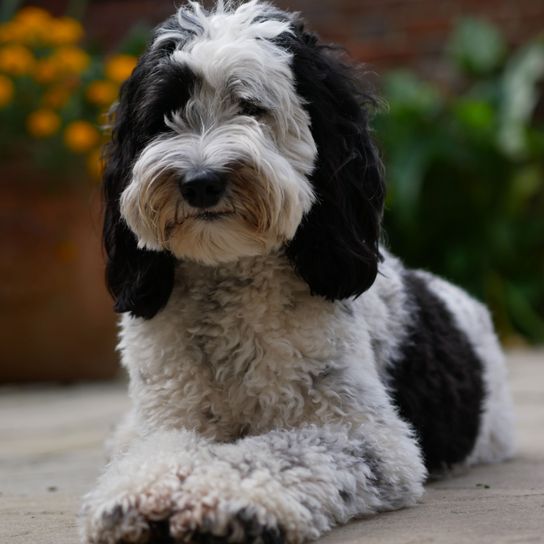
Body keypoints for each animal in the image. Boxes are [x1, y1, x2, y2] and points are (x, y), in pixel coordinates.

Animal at [79, 2, 516, 540]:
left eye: (251, 107)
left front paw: (223, 499)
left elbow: (279, 453)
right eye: (163, 115)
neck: (229, 278)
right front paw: (140, 495)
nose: (200, 182)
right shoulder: (169, 417)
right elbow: (153, 452)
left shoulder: (369, 436)